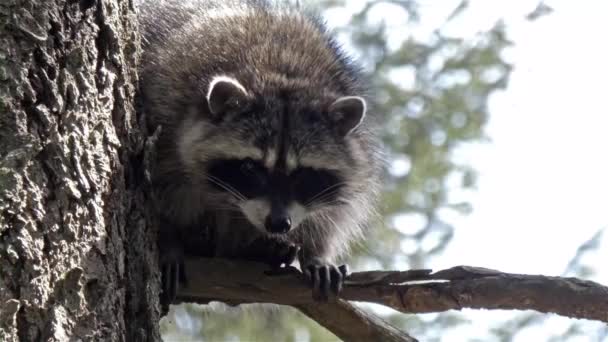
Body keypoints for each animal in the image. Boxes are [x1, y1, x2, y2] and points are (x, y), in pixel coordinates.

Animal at [139, 0, 380, 304]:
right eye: (249, 168)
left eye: (304, 175)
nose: (277, 224)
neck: (281, 71)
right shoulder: (166, 113)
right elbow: (162, 190)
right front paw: (169, 239)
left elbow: (335, 213)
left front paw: (316, 252)